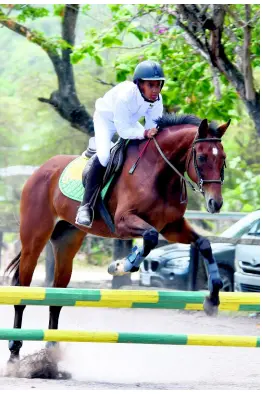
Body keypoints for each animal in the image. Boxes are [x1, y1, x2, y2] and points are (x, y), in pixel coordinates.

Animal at [4, 113, 229, 360]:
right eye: (202, 157)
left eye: (223, 158)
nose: (215, 203)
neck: (159, 173)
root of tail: (39, 170)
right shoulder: (123, 222)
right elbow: (150, 237)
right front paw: (121, 266)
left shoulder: (172, 227)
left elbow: (204, 243)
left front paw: (213, 298)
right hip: (34, 240)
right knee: (22, 290)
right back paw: (14, 350)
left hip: (66, 243)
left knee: (57, 296)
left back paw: (51, 352)